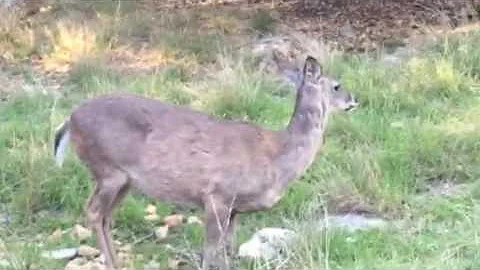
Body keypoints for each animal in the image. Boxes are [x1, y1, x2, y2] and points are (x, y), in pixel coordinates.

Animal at [53, 56, 356, 268]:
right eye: (337, 85)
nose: (355, 99)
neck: (277, 157)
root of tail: (69, 121)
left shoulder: (235, 208)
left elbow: (227, 250)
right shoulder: (217, 195)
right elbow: (211, 253)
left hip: (124, 179)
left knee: (106, 217)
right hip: (108, 170)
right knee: (94, 212)